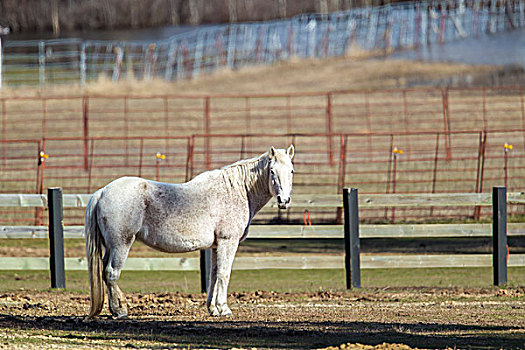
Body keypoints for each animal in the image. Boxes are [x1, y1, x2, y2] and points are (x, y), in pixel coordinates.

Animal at [84, 144, 292, 318]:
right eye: (272, 171)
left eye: (291, 171)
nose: (284, 200)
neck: (236, 190)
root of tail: (102, 192)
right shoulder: (228, 241)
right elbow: (224, 274)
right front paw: (224, 309)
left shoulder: (216, 246)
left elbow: (214, 275)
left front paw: (213, 309)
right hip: (121, 244)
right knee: (111, 273)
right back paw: (120, 311)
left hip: (111, 247)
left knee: (104, 272)